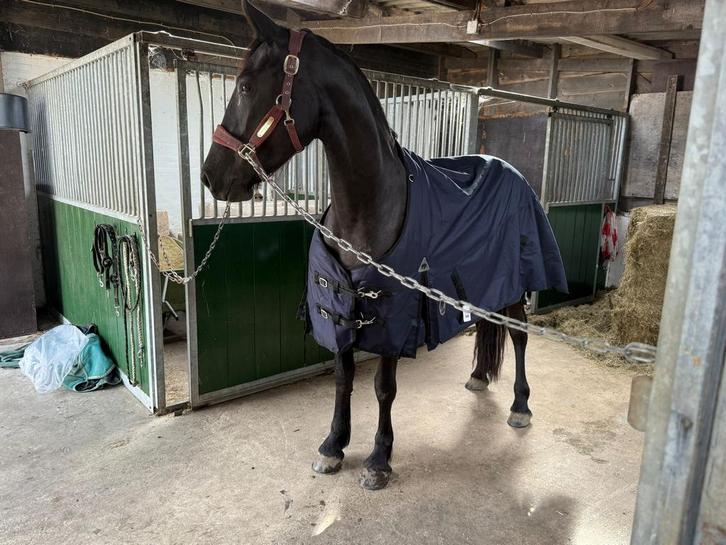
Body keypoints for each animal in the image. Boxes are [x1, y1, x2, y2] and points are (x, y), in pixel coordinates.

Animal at [201, 0, 565, 490]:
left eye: (244, 86)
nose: (211, 176)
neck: (367, 207)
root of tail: (509, 167)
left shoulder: (394, 311)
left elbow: (383, 388)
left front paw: (378, 459)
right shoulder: (337, 306)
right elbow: (343, 378)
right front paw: (333, 447)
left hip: (514, 279)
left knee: (520, 335)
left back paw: (521, 406)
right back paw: (476, 377)